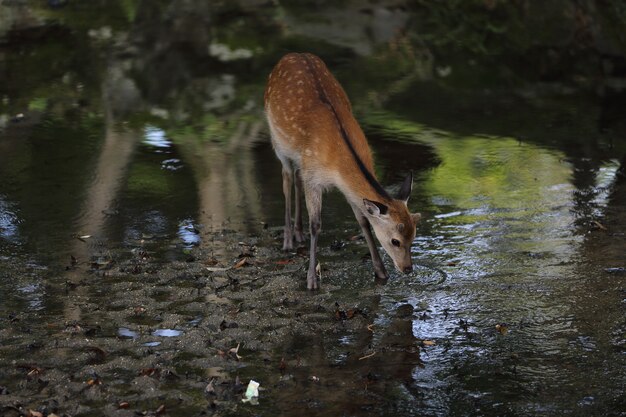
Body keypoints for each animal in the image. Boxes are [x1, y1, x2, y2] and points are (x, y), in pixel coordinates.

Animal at [264, 52, 420, 290]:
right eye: (395, 240)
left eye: (414, 235)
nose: (408, 269)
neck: (335, 162)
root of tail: (292, 54)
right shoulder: (313, 177)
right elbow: (316, 225)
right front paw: (311, 280)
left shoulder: (337, 183)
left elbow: (363, 220)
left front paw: (381, 272)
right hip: (278, 142)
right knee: (287, 178)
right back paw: (288, 239)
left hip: (300, 160)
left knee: (296, 179)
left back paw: (298, 233)